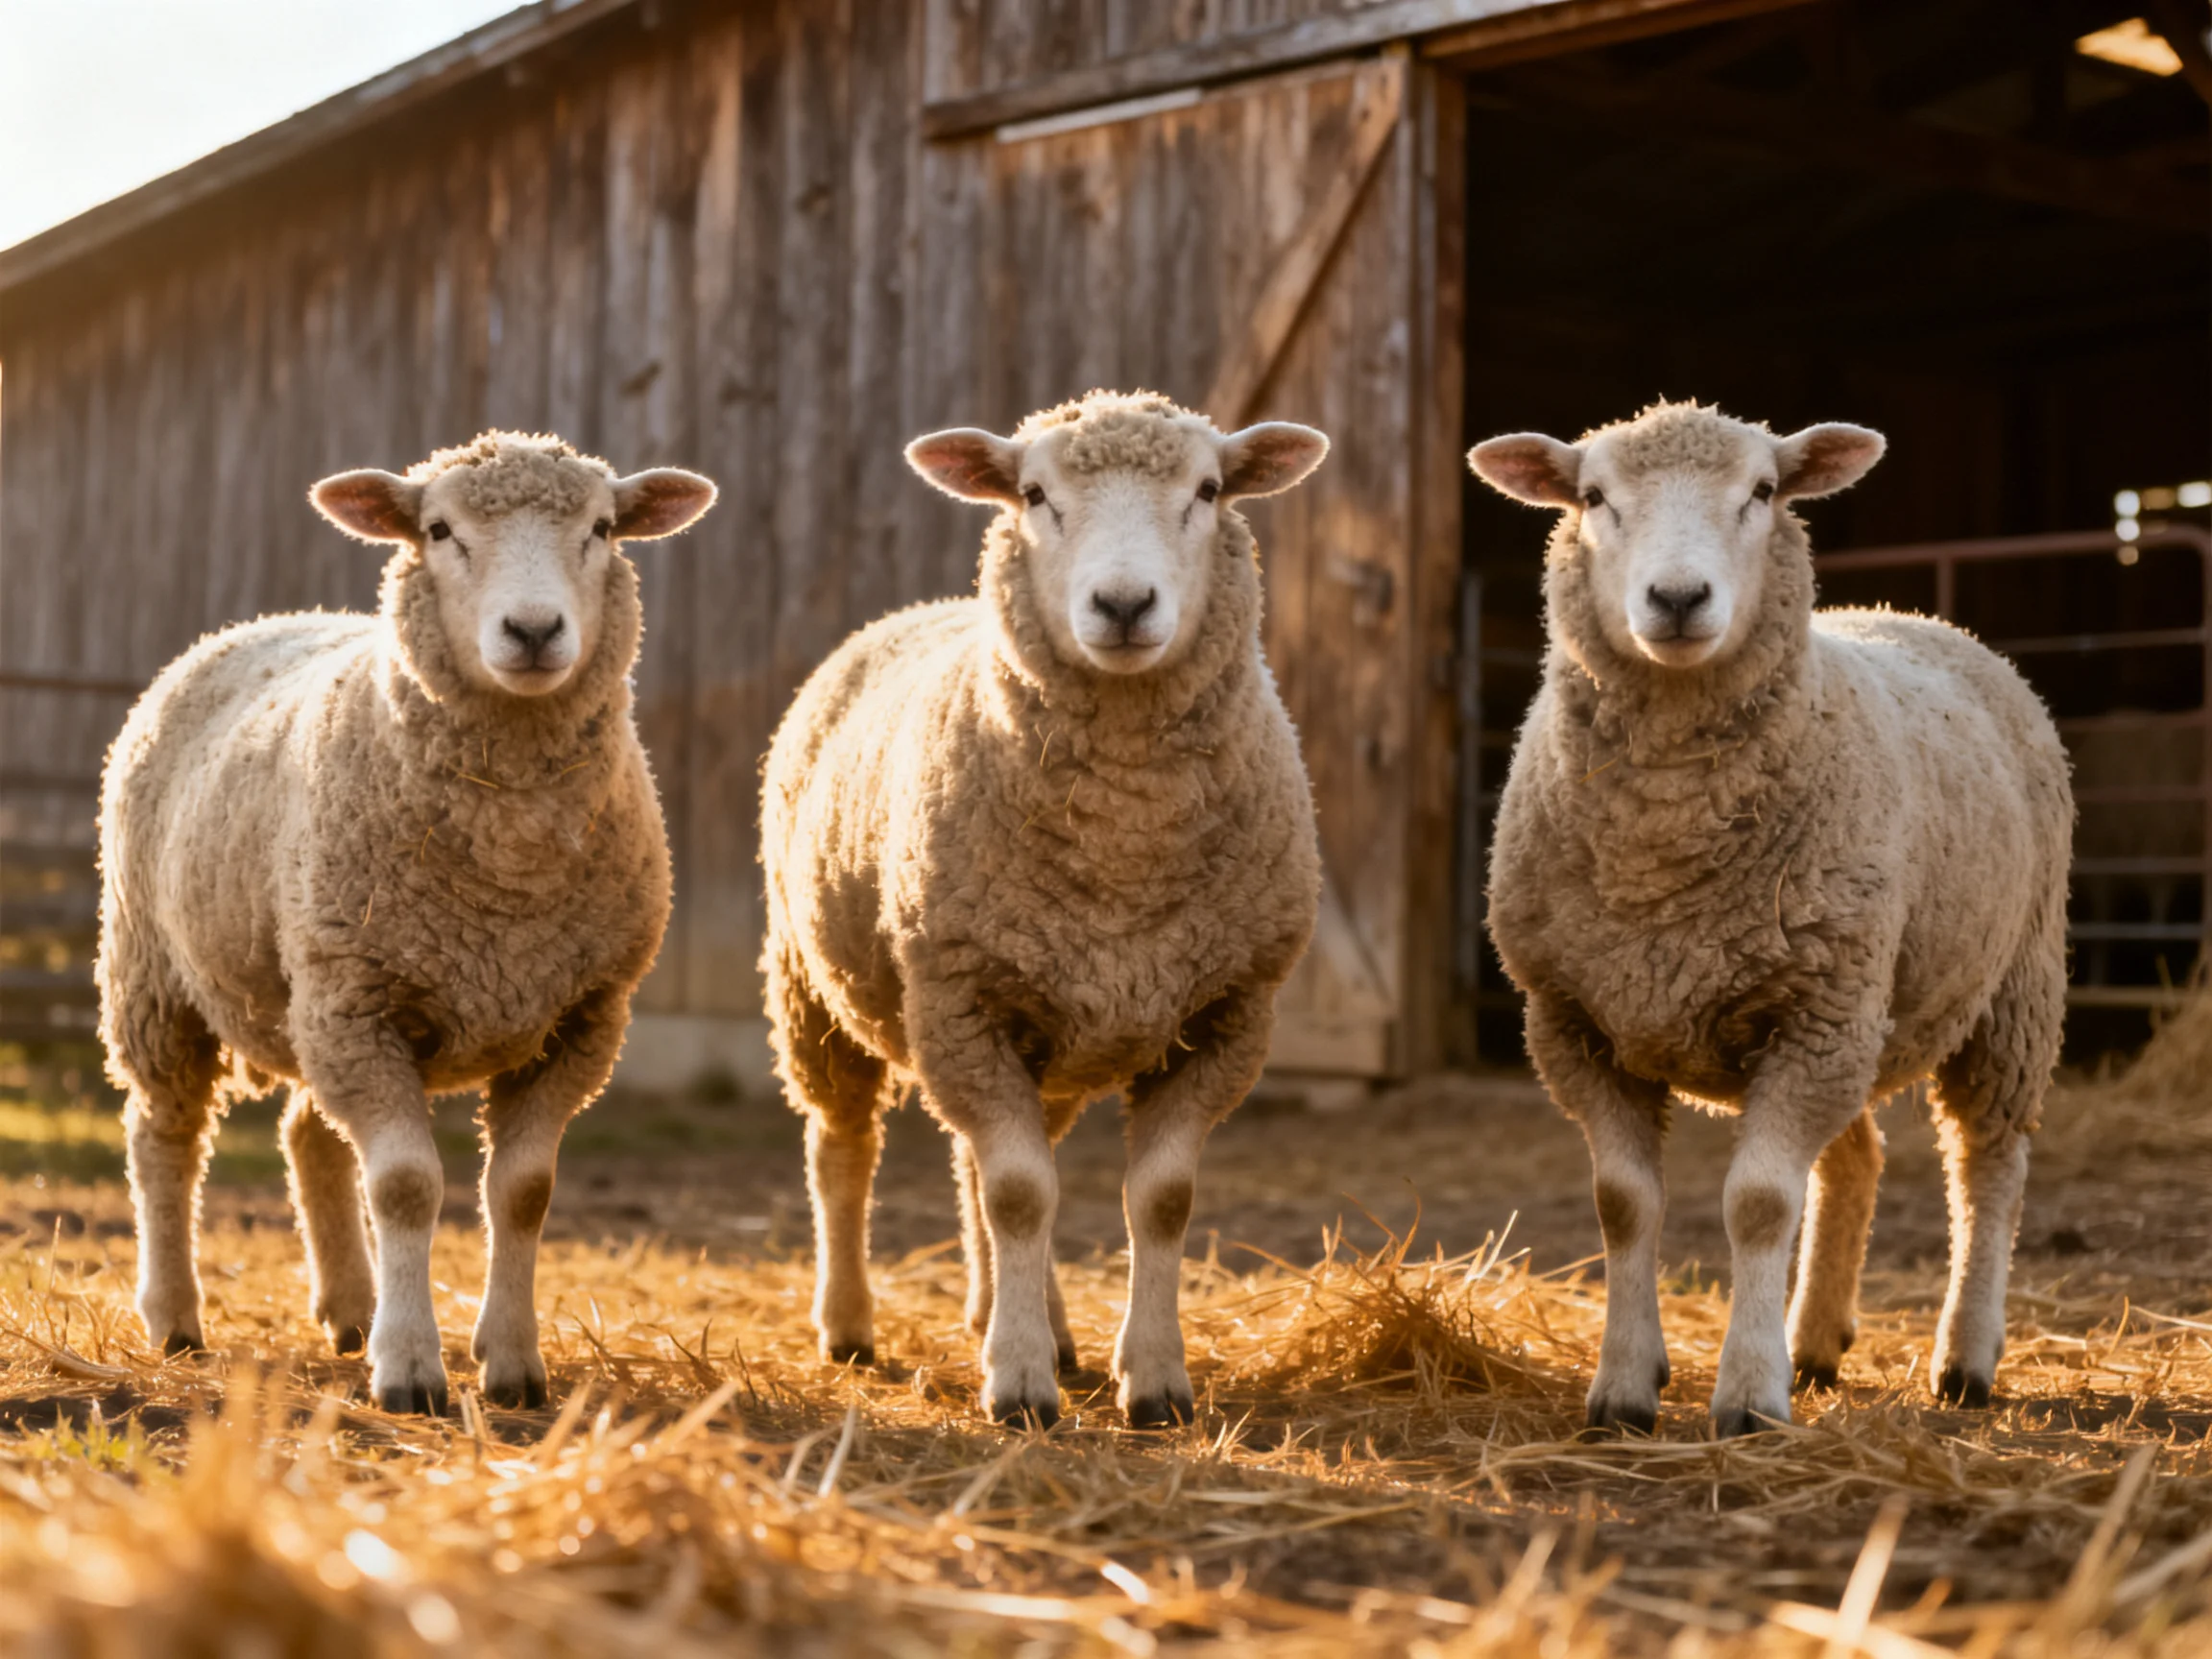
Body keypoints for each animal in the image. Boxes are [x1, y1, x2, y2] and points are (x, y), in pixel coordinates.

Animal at [98, 431, 715, 1414]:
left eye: (602, 528)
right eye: (439, 530)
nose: (533, 632)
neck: (509, 864)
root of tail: (257, 622)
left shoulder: (578, 1020)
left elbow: (524, 1191)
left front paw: (512, 1364)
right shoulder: (363, 1005)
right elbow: (404, 1188)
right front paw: (411, 1369)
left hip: (314, 993)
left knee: (307, 1135)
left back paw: (349, 1306)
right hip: (160, 978)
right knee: (163, 1137)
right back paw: (175, 1316)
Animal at [759, 390, 1328, 1428]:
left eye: (1209, 490)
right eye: (1033, 494)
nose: (1124, 605)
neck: (1124, 842)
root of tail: (913, 611)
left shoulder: (1229, 1014)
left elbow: (1156, 1199)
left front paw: (1152, 1379)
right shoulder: (961, 997)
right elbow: (1022, 1194)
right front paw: (1018, 1383)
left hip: (1039, 1033)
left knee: (973, 1163)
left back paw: (1029, 1321)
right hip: (816, 989)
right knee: (844, 1148)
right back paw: (851, 1324)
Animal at [1468, 401, 2071, 1438]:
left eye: (1761, 491)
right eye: (1593, 496)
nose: (1677, 597)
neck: (1663, 855)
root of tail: (1920, 615)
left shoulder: (1812, 1016)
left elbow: (1755, 1204)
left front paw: (1749, 1397)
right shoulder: (1577, 1023)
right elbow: (1623, 1204)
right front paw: (1625, 1388)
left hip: (2006, 991)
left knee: (1988, 1165)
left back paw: (1965, 1357)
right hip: (1861, 1005)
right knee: (1856, 1159)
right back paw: (1817, 1341)